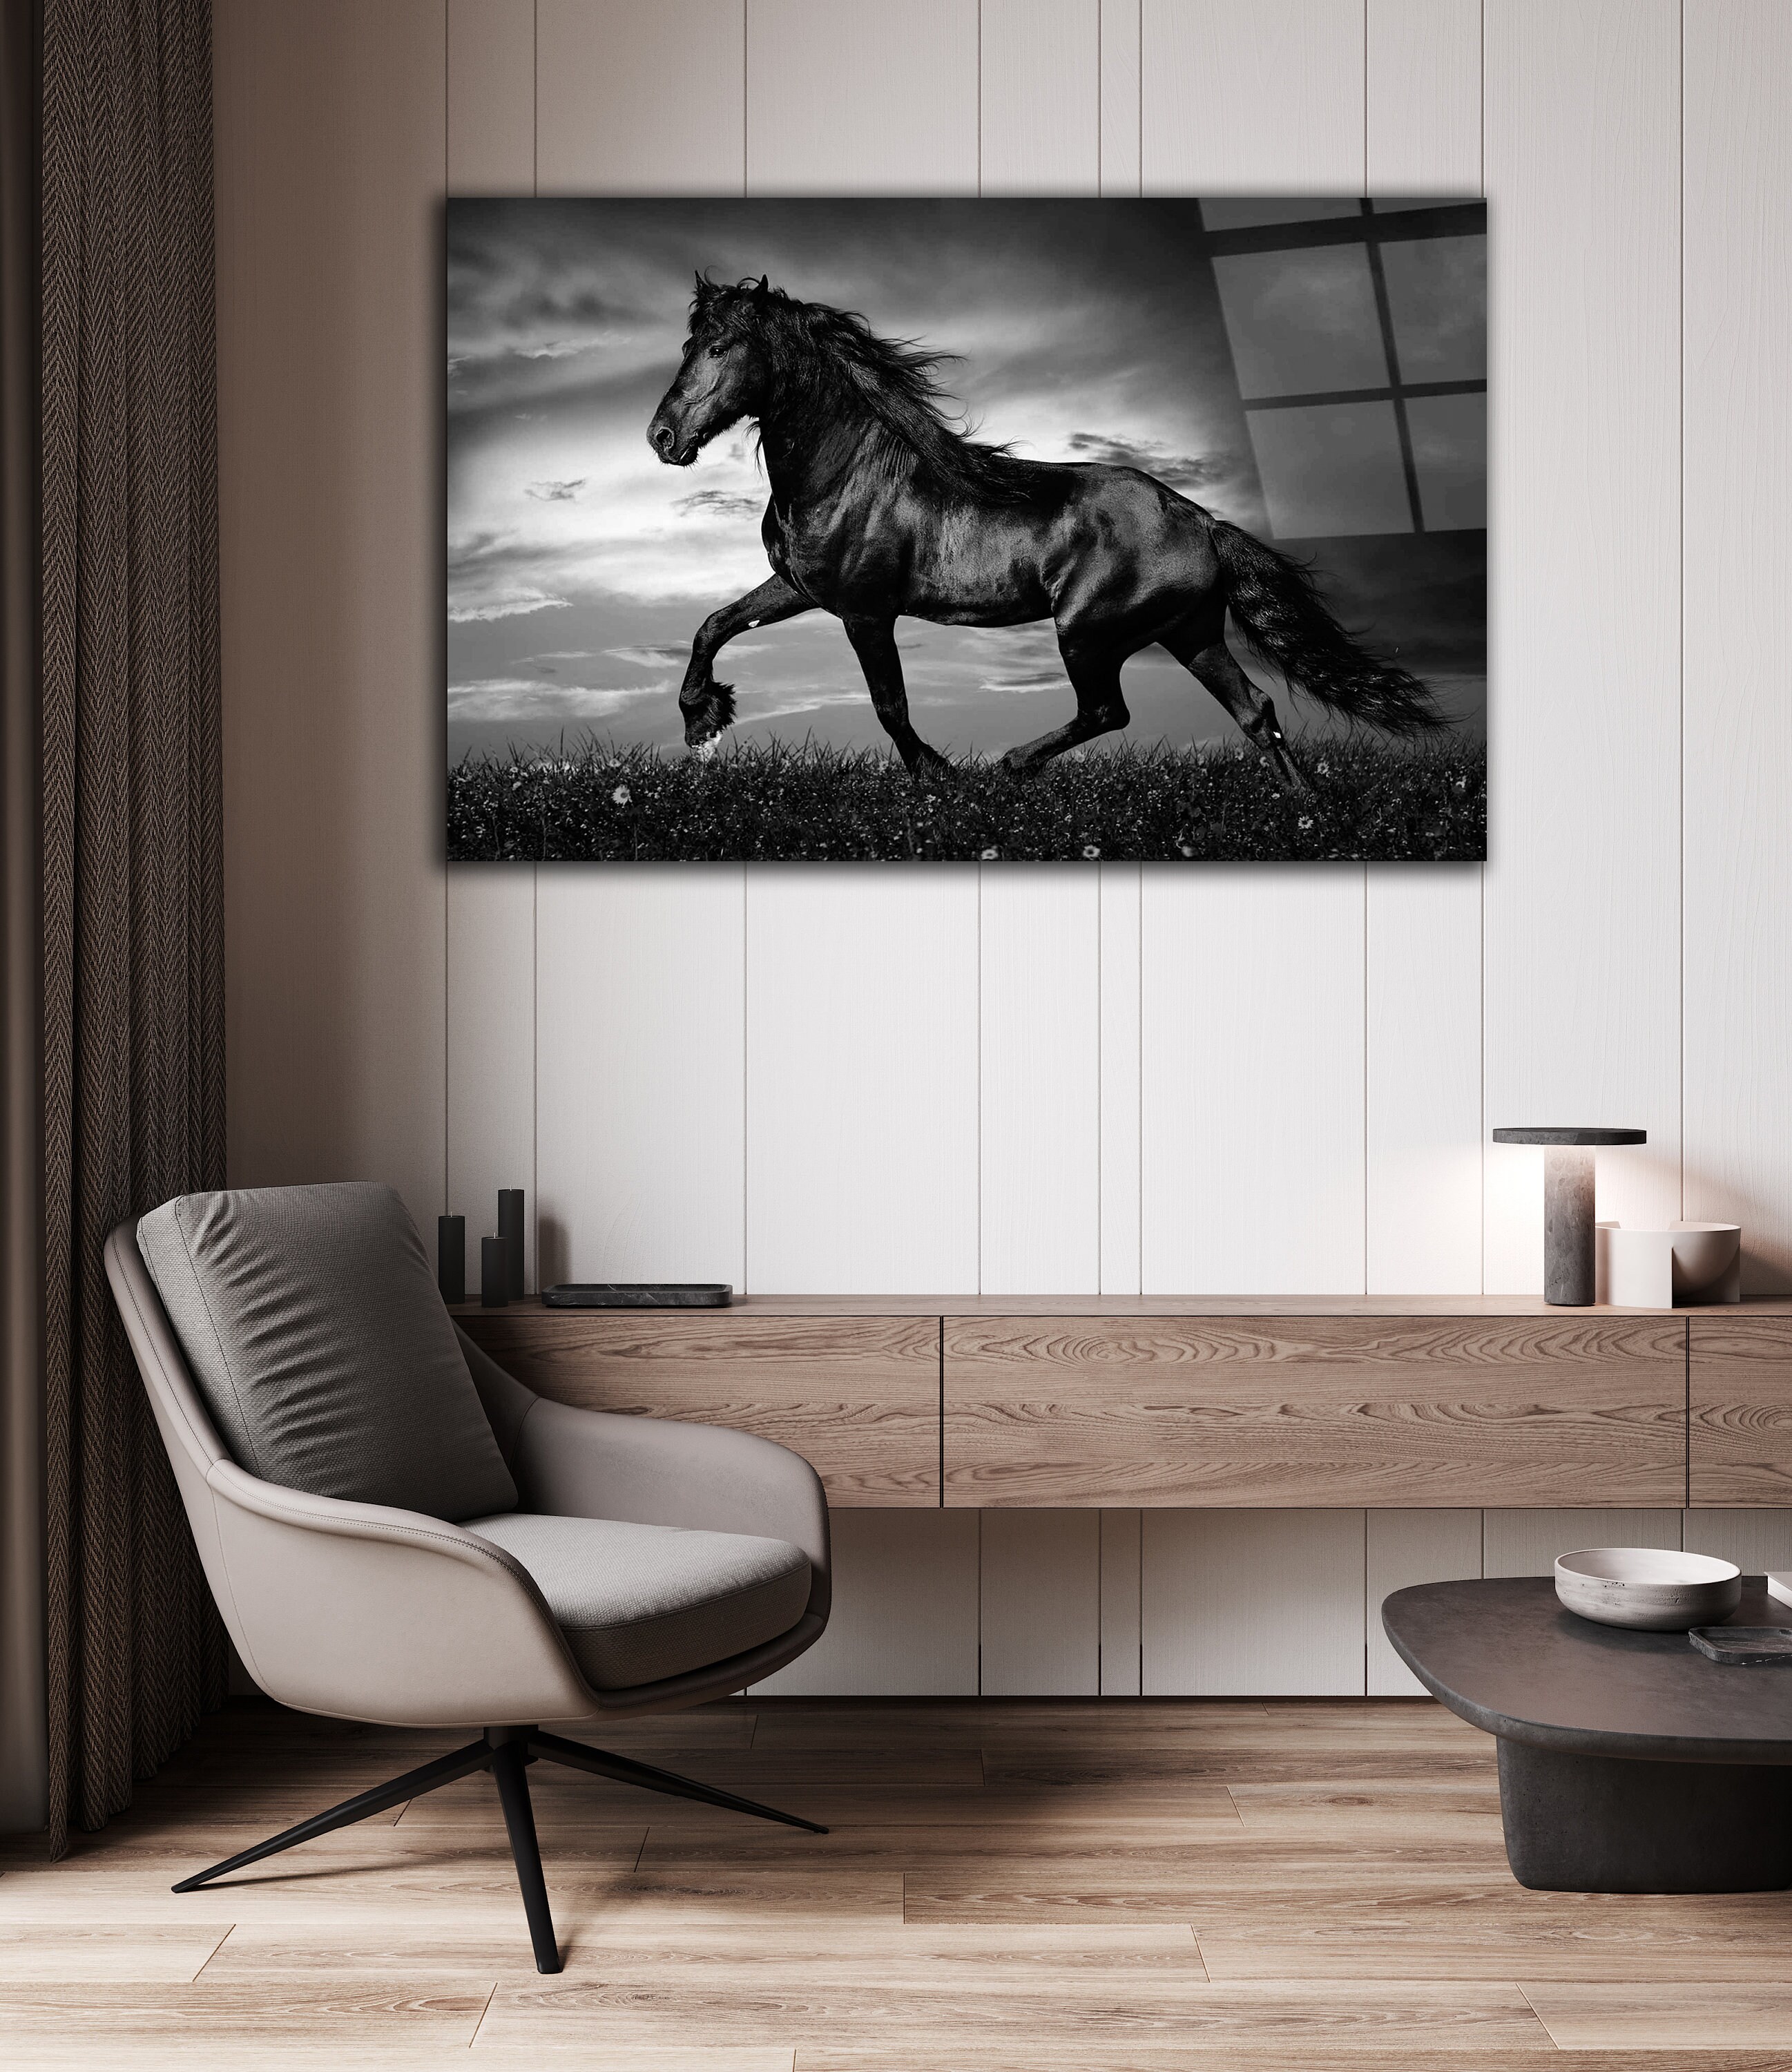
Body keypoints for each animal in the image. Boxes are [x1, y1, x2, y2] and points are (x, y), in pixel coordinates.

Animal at [646, 275, 1439, 783]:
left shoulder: (866, 611)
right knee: (1256, 711)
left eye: (720, 348)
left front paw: (940, 778)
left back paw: (1009, 767)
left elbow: (890, 706)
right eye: (689, 346)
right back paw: (1305, 814)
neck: (844, 473)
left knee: (1108, 711)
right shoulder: (801, 587)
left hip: (1087, 632)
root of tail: (1202, 522)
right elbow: (713, 625)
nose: (662, 437)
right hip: (1190, 633)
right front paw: (702, 722)